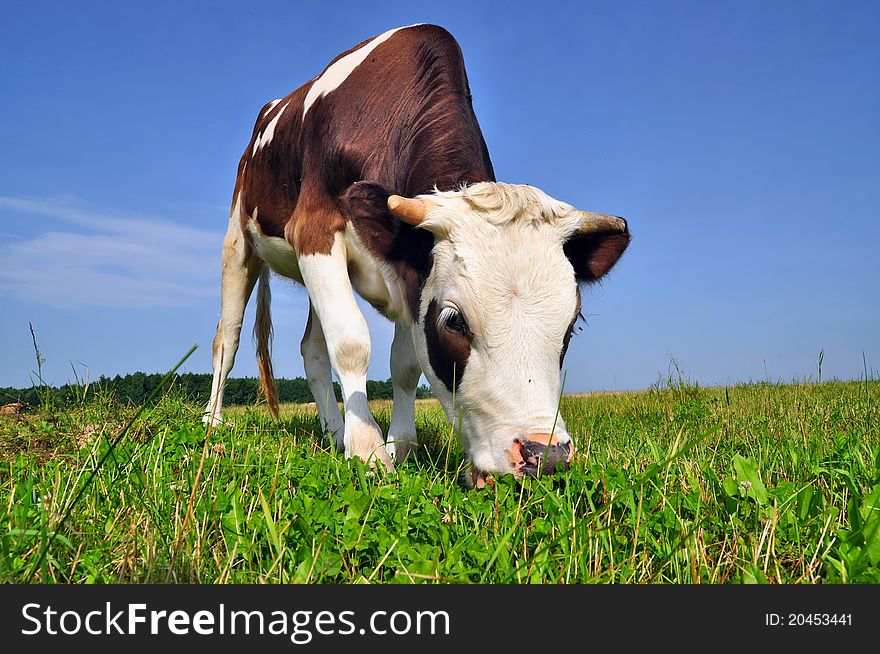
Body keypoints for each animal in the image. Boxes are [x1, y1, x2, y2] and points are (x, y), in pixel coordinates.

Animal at [205, 23, 632, 484]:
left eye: (571, 326)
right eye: (454, 321)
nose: (543, 455)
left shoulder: (411, 274)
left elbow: (405, 364)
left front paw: (400, 445)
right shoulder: (314, 230)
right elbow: (352, 343)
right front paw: (369, 451)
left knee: (312, 350)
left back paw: (334, 432)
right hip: (238, 242)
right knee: (227, 339)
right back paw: (213, 423)